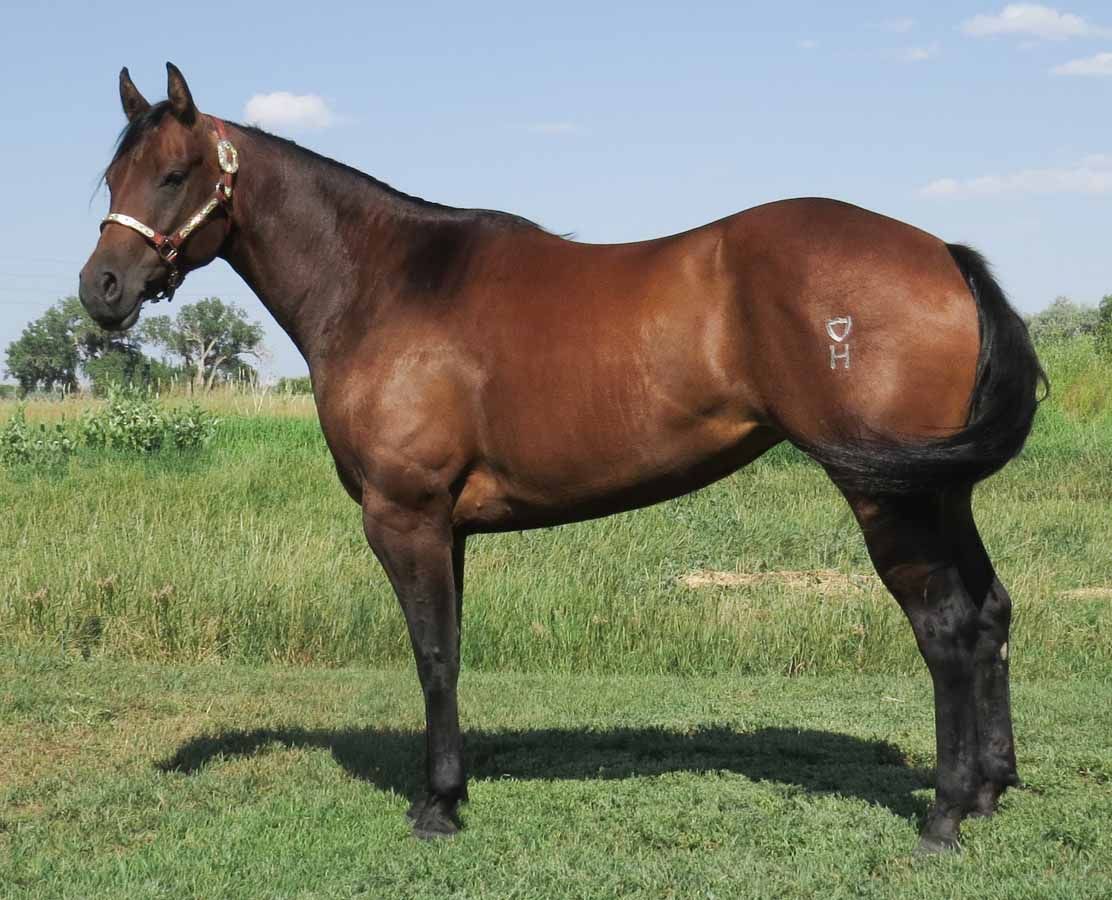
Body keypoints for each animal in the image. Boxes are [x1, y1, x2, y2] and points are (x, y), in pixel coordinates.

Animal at [79, 63, 1045, 853]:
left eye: (173, 174)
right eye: (114, 176)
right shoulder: (449, 529)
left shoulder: (406, 516)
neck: (389, 284)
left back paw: (945, 815)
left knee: (945, 629)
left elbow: (433, 654)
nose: (102, 290)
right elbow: (450, 649)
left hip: (889, 498)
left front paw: (437, 806)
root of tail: (943, 256)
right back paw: (990, 789)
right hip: (939, 492)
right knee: (988, 612)